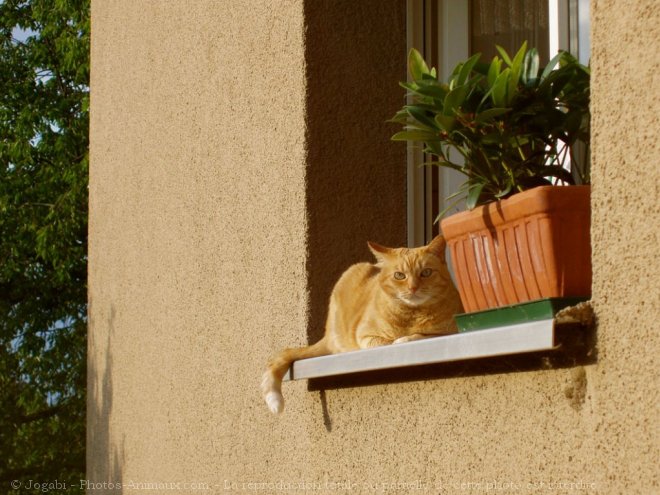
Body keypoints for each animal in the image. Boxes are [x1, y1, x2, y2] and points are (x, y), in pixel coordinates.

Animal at [260, 236, 462, 414]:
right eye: (399, 275)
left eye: (426, 272)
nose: (413, 288)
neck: (412, 315)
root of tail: (327, 333)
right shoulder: (366, 336)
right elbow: (386, 342)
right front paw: (399, 340)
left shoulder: (450, 332)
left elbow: (420, 336)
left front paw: (406, 338)